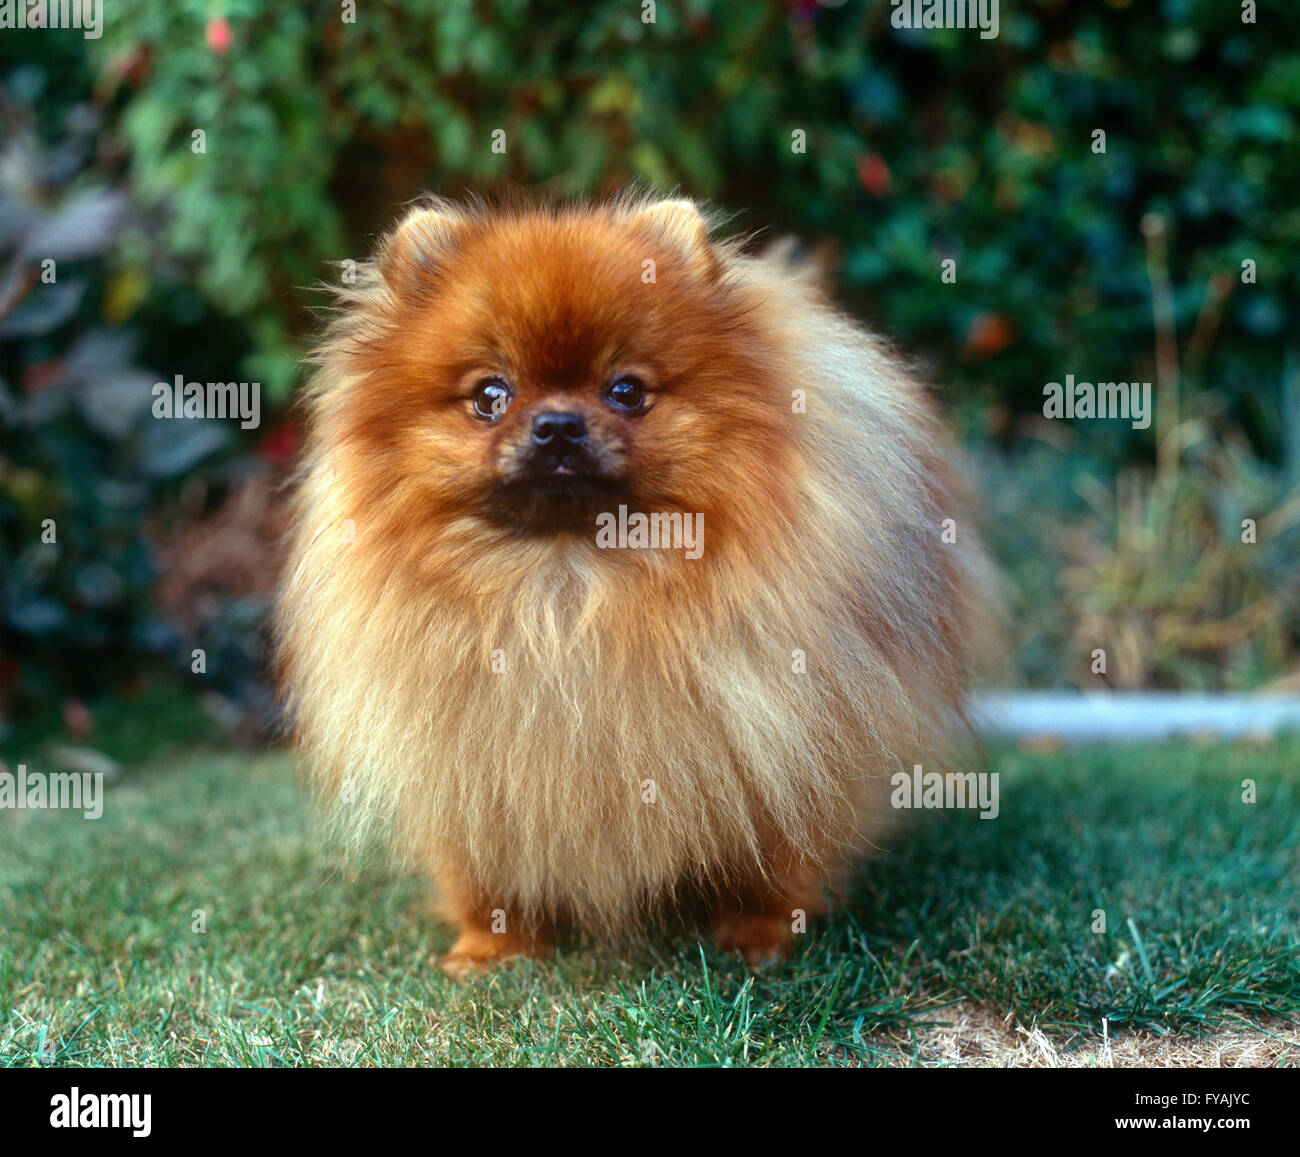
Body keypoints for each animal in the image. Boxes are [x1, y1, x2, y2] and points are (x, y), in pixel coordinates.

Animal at [279, 193, 993, 967]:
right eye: (490, 395)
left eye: (626, 391)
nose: (559, 425)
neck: (566, 588)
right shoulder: (467, 766)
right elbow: (484, 864)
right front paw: (492, 946)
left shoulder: (786, 738)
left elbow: (780, 856)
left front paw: (763, 934)